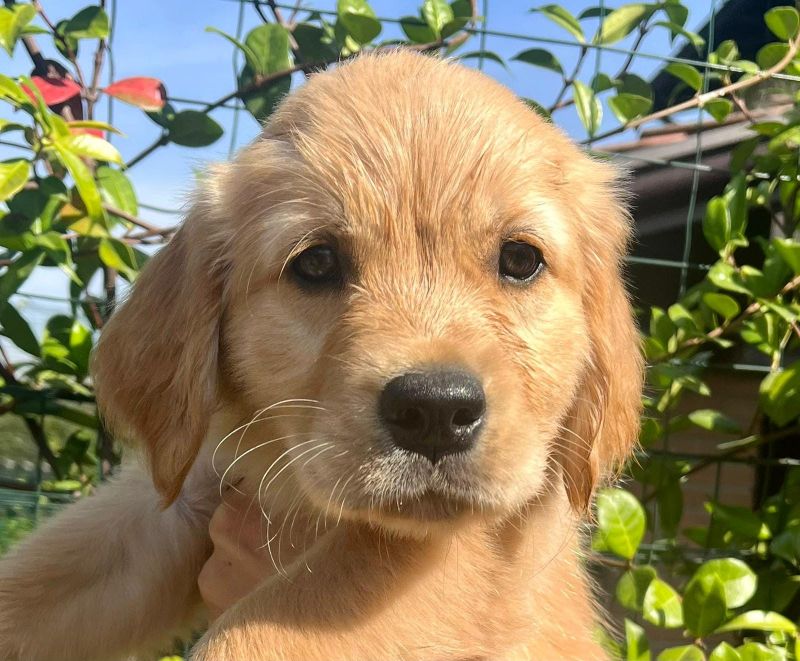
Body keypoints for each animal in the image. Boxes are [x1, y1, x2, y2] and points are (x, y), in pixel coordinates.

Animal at [0, 49, 640, 656]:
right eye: (316, 263)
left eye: (520, 259)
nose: (435, 410)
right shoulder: (190, 490)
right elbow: (41, 578)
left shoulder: (487, 547)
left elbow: (265, 626)